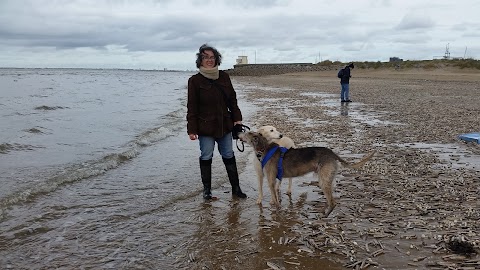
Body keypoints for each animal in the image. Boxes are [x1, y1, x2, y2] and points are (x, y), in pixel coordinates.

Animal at [238, 131, 374, 217]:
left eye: (247, 133)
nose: (238, 134)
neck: (265, 148)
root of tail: (332, 154)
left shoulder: (271, 180)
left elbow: (276, 201)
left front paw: (277, 214)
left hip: (324, 180)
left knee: (333, 202)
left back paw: (325, 216)